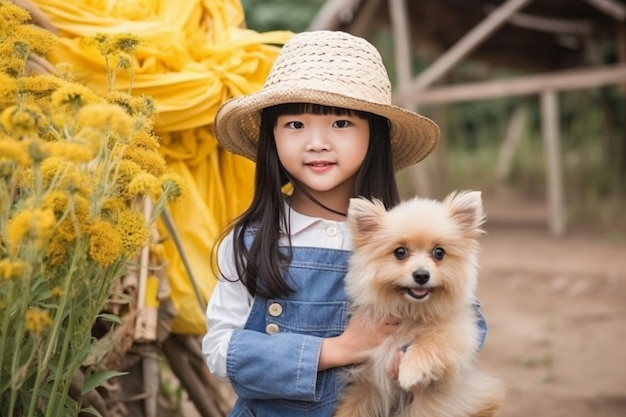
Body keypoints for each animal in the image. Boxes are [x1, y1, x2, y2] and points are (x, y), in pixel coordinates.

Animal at [332, 191, 502, 416]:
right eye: (400, 252)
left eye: (439, 253)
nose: (421, 275)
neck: (411, 312)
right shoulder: (367, 383)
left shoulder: (458, 333)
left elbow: (431, 342)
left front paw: (410, 371)